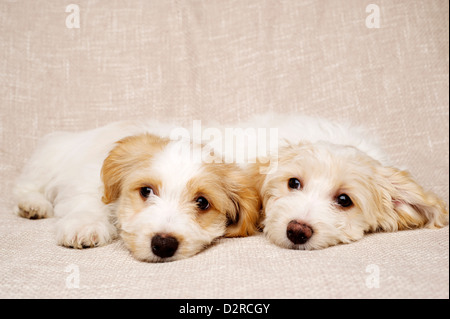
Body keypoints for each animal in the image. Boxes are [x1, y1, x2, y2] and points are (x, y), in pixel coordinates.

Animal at [13, 122, 260, 262]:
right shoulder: (88, 178)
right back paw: (32, 205)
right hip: (48, 164)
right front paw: (84, 226)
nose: (163, 245)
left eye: (202, 202)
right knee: (27, 185)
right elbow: (90, 200)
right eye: (146, 191)